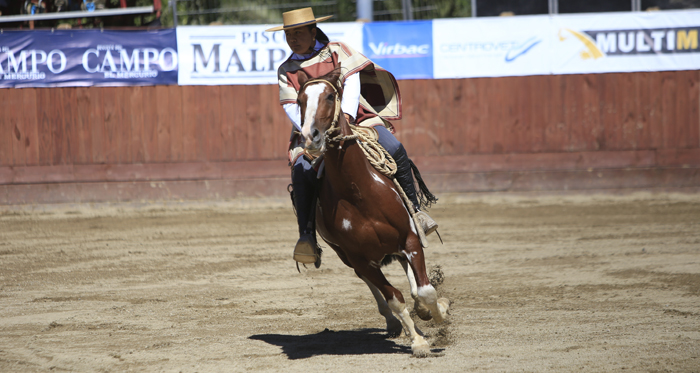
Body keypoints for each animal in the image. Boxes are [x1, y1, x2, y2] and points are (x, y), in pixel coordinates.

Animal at [294, 68, 448, 356]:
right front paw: (418, 341)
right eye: (299, 100)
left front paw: (439, 314)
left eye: (330, 95)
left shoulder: (410, 240)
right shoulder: (361, 258)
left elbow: (426, 290)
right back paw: (394, 322)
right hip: (347, 256)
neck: (358, 192)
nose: (311, 136)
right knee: (371, 283)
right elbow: (394, 298)